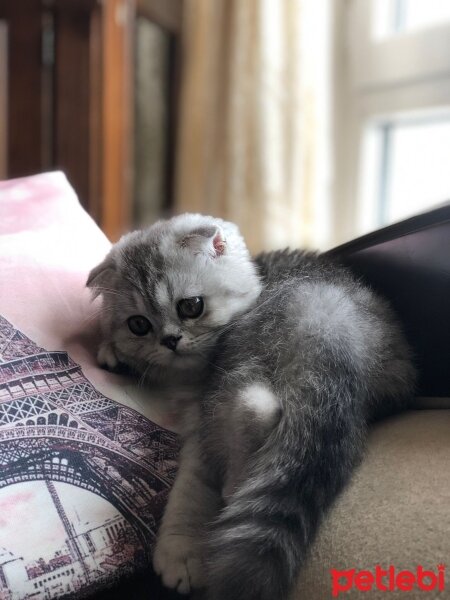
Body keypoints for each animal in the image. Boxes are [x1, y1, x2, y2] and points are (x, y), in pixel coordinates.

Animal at [87, 214, 414, 600]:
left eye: (190, 306)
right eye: (139, 325)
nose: (169, 340)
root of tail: (336, 322)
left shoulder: (200, 421)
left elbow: (188, 492)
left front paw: (180, 553)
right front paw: (114, 353)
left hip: (243, 351)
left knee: (258, 406)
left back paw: (235, 483)